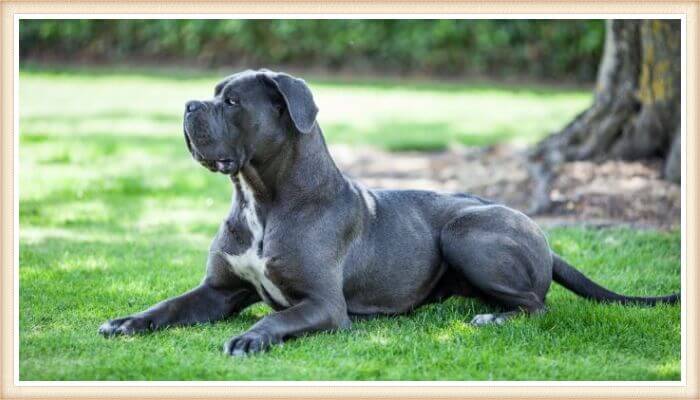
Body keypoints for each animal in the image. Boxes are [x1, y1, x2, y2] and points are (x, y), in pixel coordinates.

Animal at [98, 69, 680, 356]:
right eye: (214, 95)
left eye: (234, 102)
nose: (188, 106)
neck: (261, 197)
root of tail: (544, 237)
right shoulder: (218, 291)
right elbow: (168, 306)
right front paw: (128, 321)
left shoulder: (323, 305)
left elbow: (277, 315)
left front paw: (252, 336)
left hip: (467, 231)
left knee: (539, 305)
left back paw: (493, 316)